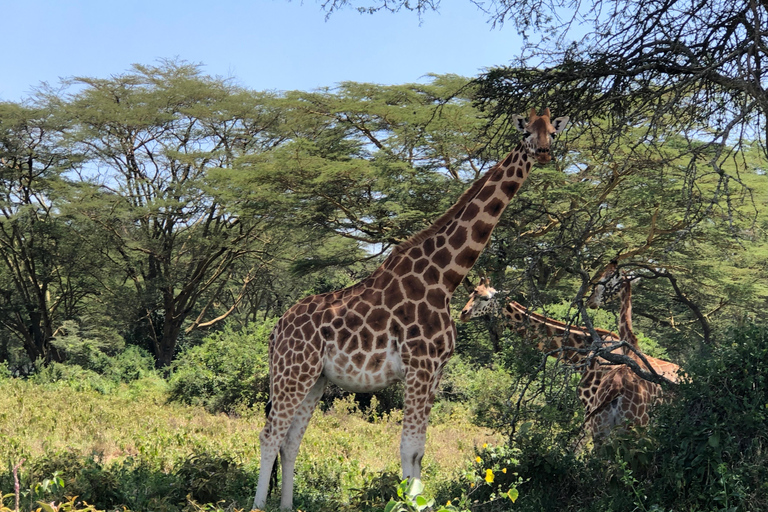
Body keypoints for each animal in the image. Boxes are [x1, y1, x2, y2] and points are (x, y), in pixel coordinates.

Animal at [254, 107, 568, 508]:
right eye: (526, 131)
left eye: (553, 133)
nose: (543, 153)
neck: (444, 277)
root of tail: (276, 329)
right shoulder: (419, 366)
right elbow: (408, 448)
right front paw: (406, 502)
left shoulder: (435, 372)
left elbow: (420, 450)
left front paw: (416, 498)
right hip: (291, 372)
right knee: (270, 435)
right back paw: (258, 505)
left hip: (315, 379)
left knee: (290, 440)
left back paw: (288, 506)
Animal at [456, 278, 680, 442]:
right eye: (470, 294)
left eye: (485, 298)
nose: (463, 314)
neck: (582, 355)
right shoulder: (589, 411)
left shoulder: (590, 407)